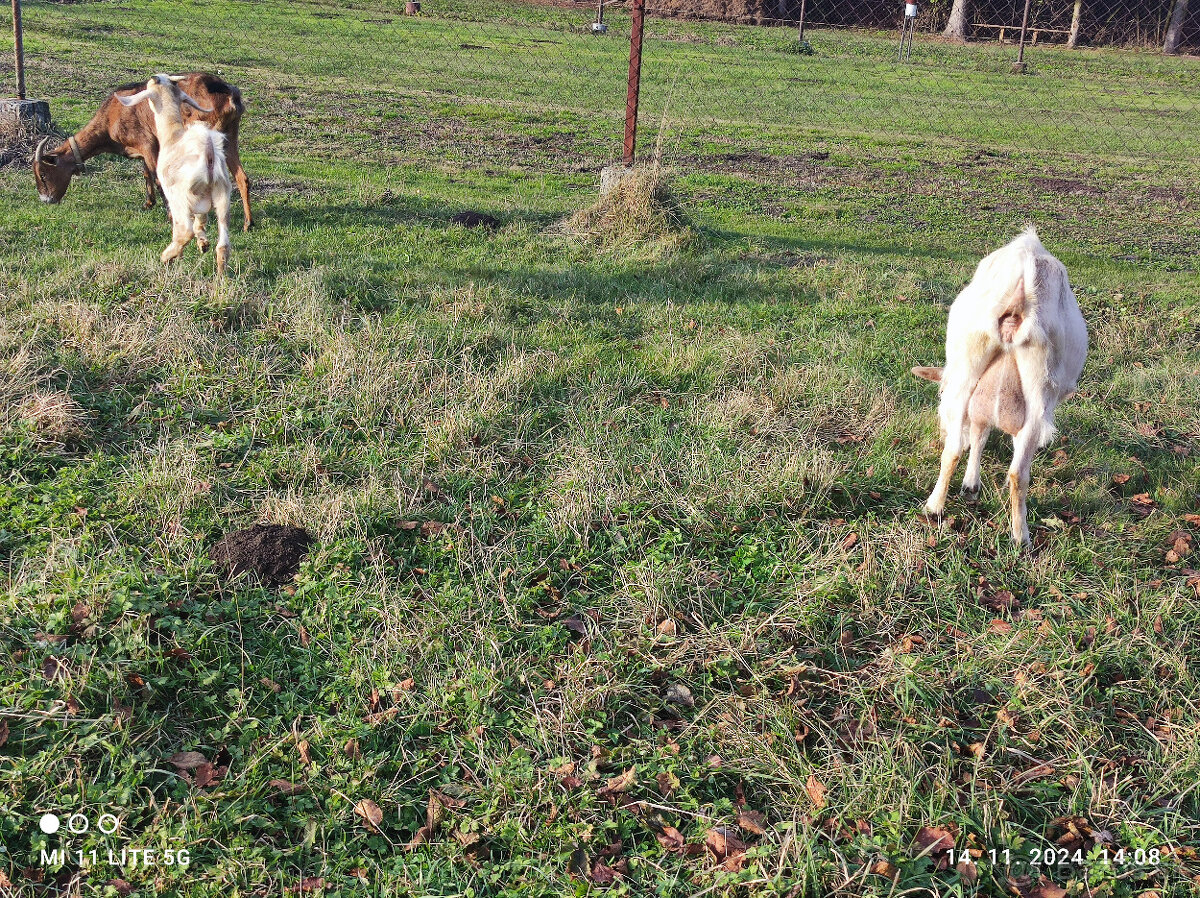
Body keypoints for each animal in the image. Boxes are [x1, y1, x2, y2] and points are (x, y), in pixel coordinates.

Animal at [34, 72, 252, 231]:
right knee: (242, 177)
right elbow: (146, 173)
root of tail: (229, 95)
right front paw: (148, 203)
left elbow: (158, 178)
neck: (112, 115)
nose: (46, 200)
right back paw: (248, 224)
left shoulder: (148, 144)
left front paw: (170, 215)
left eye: (43, 174)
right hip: (229, 136)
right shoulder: (145, 149)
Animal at [119, 74, 234, 273]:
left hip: (182, 196)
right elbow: (201, 220)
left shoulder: (171, 192)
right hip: (222, 194)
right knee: (223, 242)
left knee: (184, 230)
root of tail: (208, 154)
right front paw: (203, 243)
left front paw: (178, 256)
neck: (172, 135)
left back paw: (166, 257)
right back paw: (221, 273)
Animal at [907, 228, 1089, 542]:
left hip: (975, 372)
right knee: (1000, 465)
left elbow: (979, 434)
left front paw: (970, 486)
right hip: (1035, 385)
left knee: (966, 454)